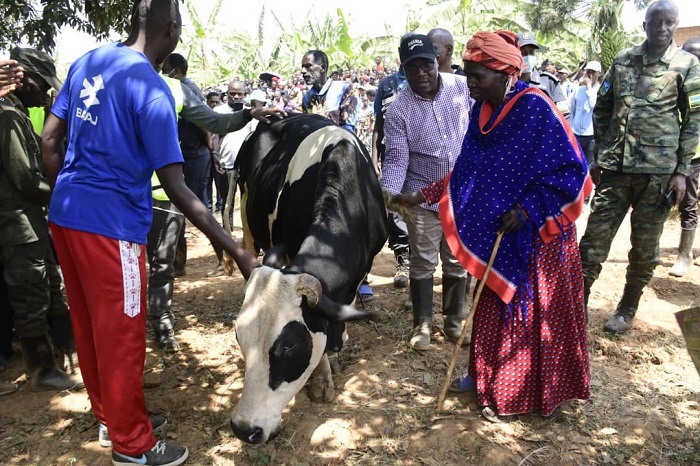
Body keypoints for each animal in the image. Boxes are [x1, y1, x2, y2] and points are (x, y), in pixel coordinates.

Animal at [230, 114, 388, 444]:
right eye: (239, 336)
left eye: (289, 345)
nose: (243, 428)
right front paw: (322, 380)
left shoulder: (362, 269)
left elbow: (339, 316)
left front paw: (337, 350)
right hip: (247, 210)